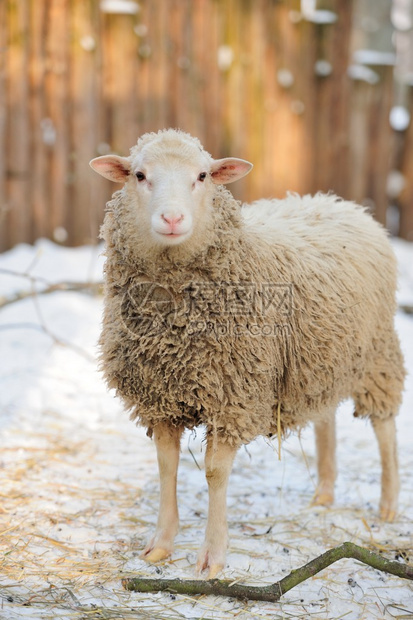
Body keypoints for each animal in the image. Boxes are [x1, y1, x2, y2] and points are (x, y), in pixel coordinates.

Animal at [89, 128, 402, 580]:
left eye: (203, 176)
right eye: (139, 175)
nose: (172, 219)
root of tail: (338, 201)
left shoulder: (233, 397)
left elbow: (215, 472)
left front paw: (212, 557)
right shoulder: (159, 397)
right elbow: (167, 466)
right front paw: (160, 545)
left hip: (377, 355)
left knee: (384, 427)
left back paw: (389, 505)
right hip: (319, 358)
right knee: (325, 418)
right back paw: (324, 493)